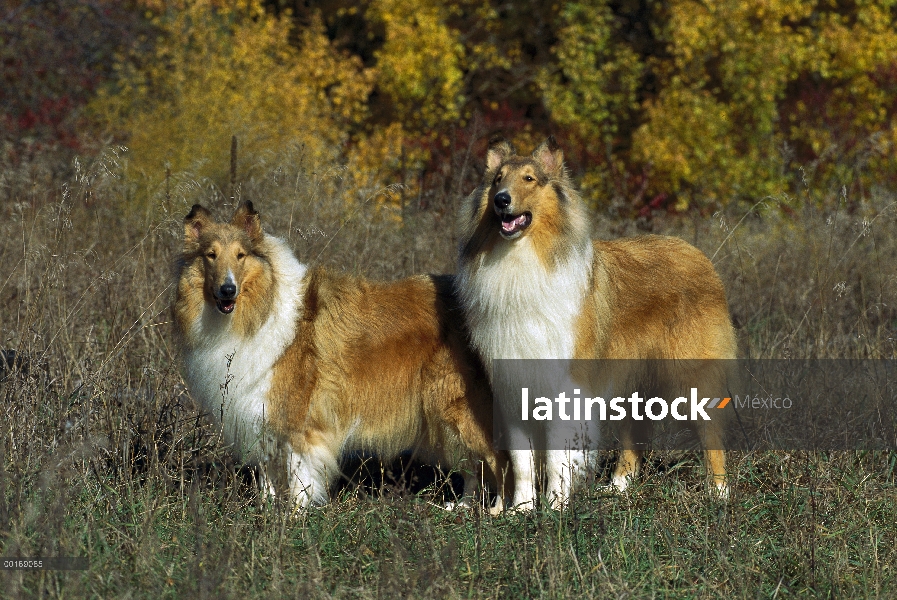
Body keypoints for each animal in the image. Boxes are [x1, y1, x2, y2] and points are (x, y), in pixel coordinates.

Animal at [172, 203, 500, 510]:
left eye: (240, 255)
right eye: (210, 255)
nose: (227, 290)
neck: (261, 309)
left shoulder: (298, 423)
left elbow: (298, 478)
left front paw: (293, 517)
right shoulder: (262, 414)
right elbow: (268, 476)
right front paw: (267, 513)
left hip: (458, 407)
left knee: (498, 459)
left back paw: (500, 511)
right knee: (476, 466)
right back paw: (462, 507)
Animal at [456, 137, 736, 510]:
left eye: (529, 179)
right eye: (497, 179)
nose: (502, 199)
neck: (523, 261)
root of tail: (697, 254)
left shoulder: (565, 386)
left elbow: (557, 459)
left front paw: (556, 508)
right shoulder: (515, 388)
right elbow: (522, 461)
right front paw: (520, 510)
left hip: (691, 375)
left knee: (711, 436)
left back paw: (718, 493)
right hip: (633, 377)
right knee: (633, 438)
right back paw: (618, 487)